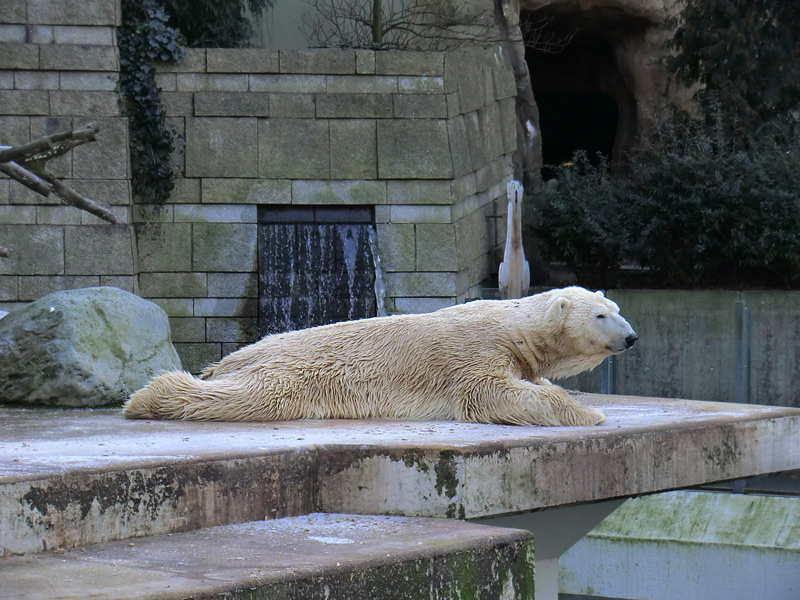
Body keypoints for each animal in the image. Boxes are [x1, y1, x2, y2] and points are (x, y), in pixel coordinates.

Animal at [123, 288, 636, 424]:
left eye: (616, 308)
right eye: (600, 315)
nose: (631, 337)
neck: (512, 328)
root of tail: (233, 359)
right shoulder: (474, 353)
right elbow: (488, 393)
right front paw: (587, 412)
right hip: (293, 371)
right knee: (255, 396)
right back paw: (147, 397)